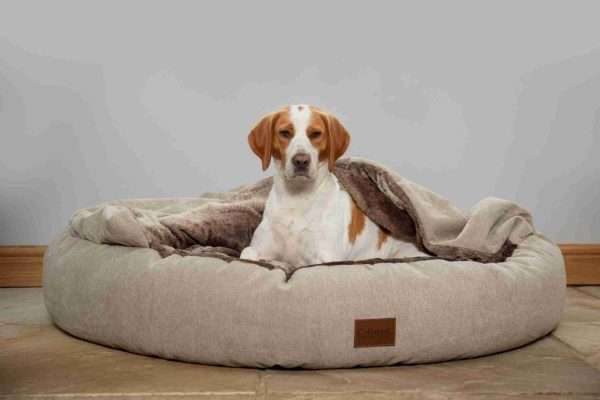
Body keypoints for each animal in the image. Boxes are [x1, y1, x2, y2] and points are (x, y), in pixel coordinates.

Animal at [237, 104, 424, 266]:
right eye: (284, 133)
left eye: (316, 134)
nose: (301, 161)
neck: (297, 198)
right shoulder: (258, 248)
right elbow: (247, 253)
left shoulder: (324, 258)